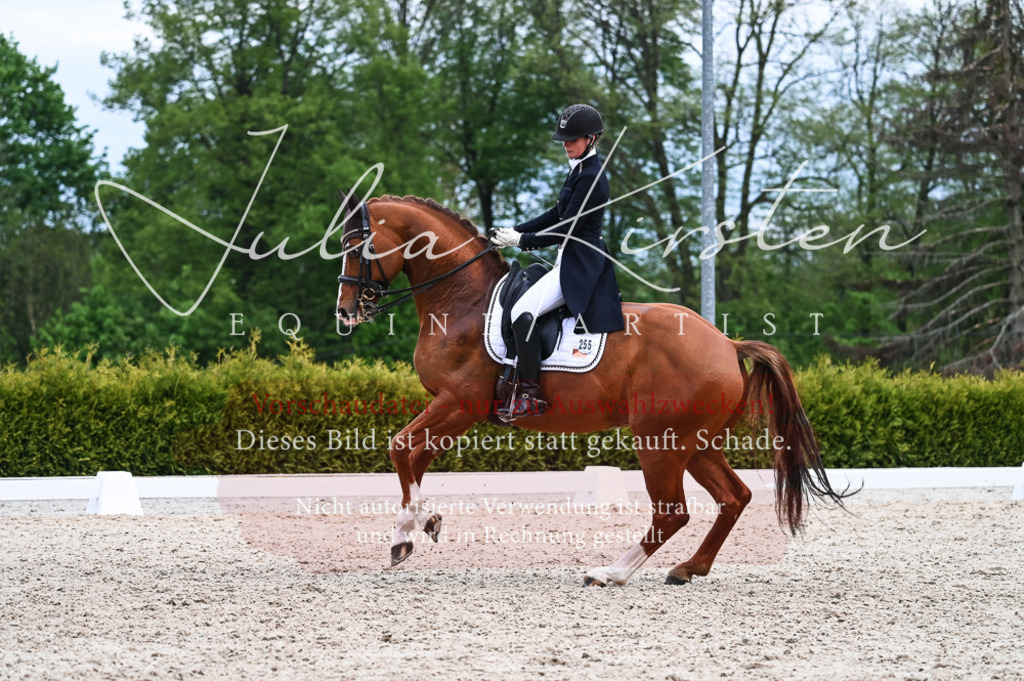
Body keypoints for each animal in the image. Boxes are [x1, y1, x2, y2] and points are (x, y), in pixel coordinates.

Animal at [335, 192, 849, 586]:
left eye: (358, 248)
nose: (346, 313)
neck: (462, 301)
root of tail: (726, 343)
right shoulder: (456, 410)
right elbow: (413, 458)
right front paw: (411, 531)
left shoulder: (459, 403)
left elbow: (400, 447)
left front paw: (415, 528)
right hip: (696, 442)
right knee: (733, 497)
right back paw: (689, 569)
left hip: (660, 441)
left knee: (673, 512)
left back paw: (611, 573)